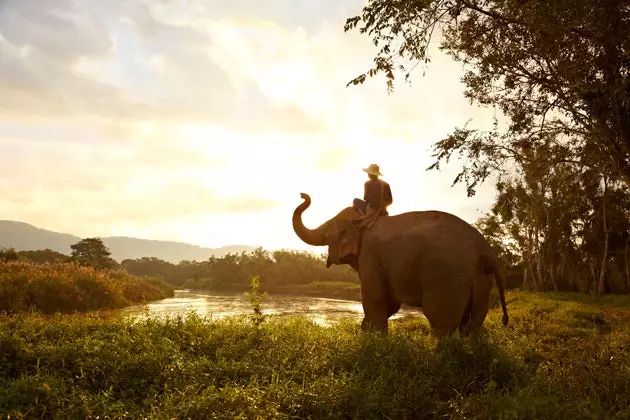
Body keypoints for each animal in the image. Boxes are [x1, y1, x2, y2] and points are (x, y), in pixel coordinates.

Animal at [294, 192, 512, 336]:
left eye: (328, 231)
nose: (303, 195)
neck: (364, 220)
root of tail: (485, 250)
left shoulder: (370, 256)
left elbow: (375, 297)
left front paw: (375, 340)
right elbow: (390, 302)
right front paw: (365, 332)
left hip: (447, 276)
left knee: (441, 320)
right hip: (481, 279)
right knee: (474, 318)